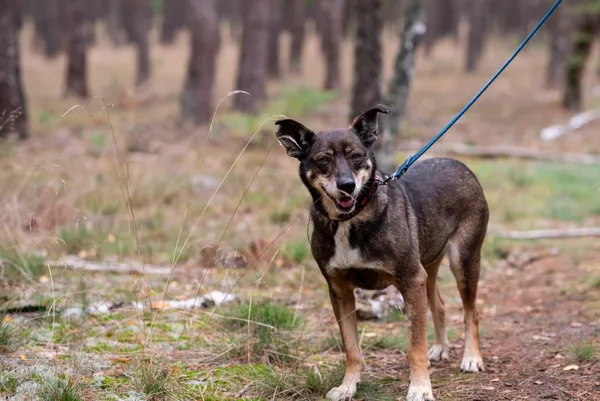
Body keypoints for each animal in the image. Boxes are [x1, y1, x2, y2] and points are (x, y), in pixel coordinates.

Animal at [276, 104, 488, 398]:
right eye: (322, 160)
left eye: (356, 156)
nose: (347, 186)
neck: (351, 219)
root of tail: (461, 165)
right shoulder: (339, 290)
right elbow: (351, 348)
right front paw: (348, 386)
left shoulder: (411, 280)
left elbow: (414, 346)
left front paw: (420, 388)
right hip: (428, 265)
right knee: (440, 305)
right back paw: (440, 348)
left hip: (463, 261)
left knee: (471, 312)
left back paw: (471, 358)